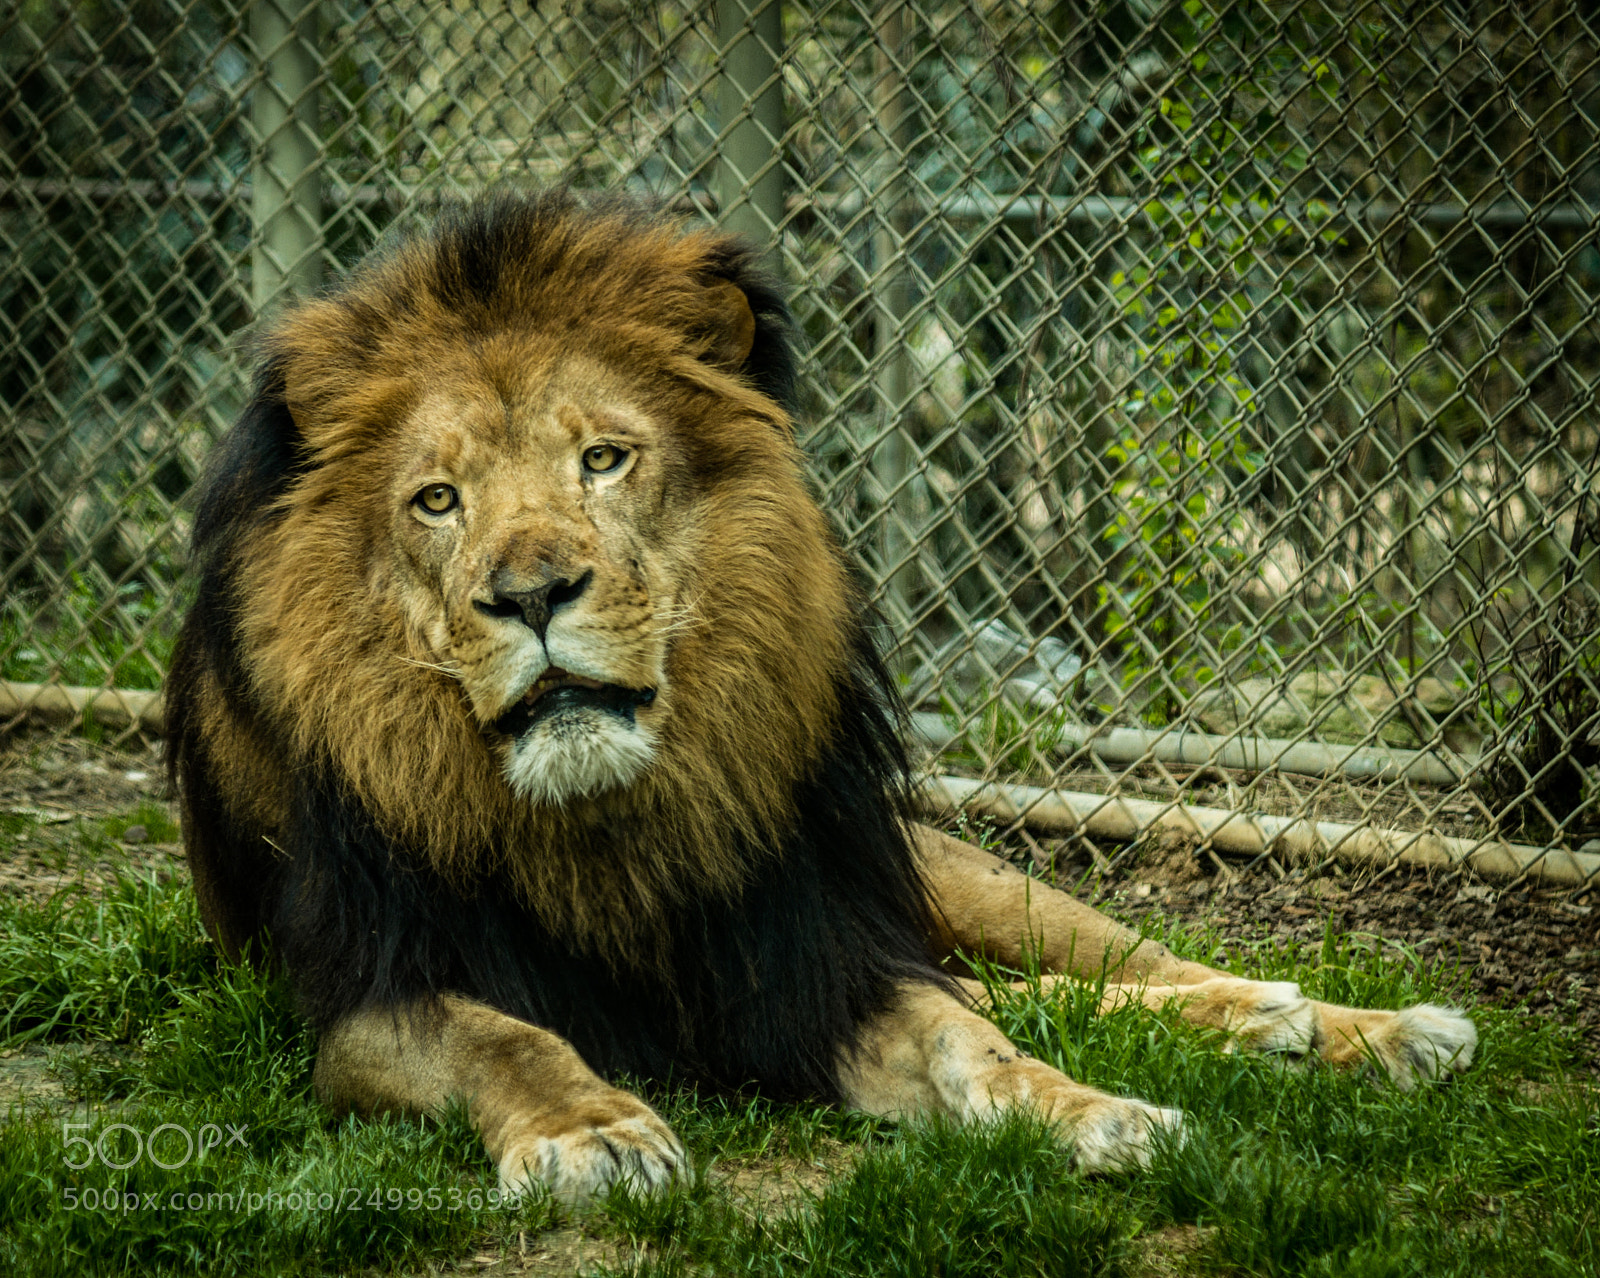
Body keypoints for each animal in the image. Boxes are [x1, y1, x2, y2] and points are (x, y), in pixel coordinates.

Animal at [166, 190, 1476, 1204]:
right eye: (437, 501)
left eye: (604, 460)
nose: (532, 593)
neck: (604, 824)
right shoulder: (367, 994)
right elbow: (505, 1037)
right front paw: (595, 1132)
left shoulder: (814, 956)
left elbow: (973, 1043)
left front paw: (1093, 1111)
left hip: (955, 876)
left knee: (1098, 965)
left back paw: (1352, 1024)